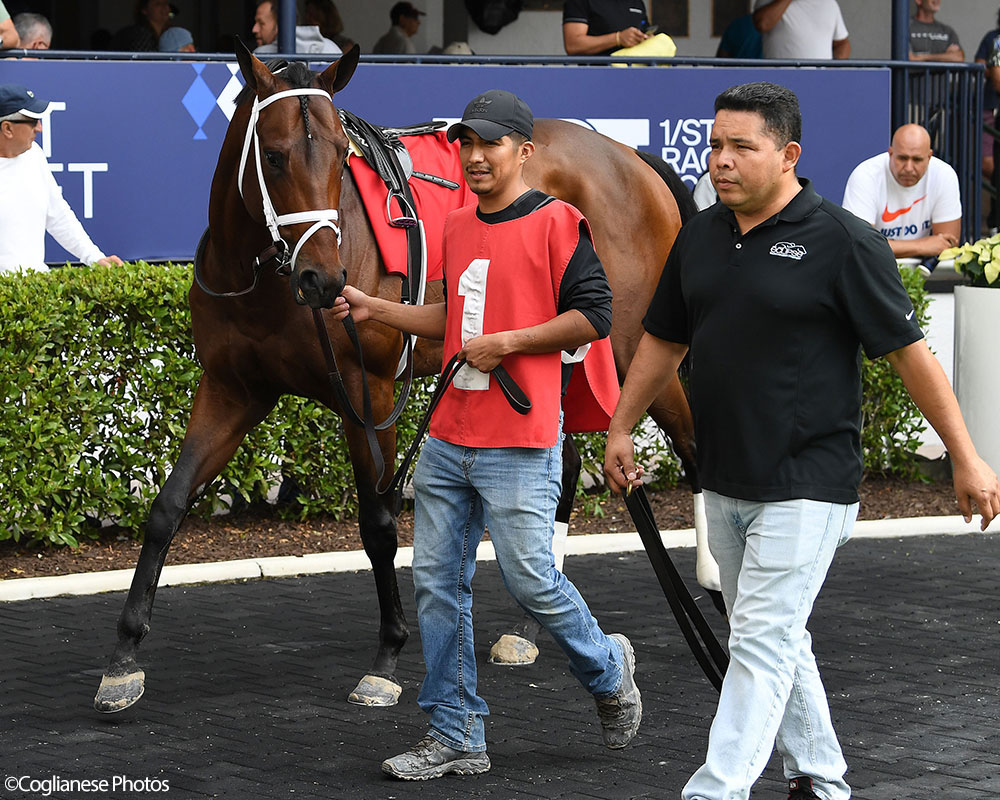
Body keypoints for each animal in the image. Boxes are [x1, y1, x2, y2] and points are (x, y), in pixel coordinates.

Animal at [94, 43, 704, 712]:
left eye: (341, 156)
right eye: (274, 156)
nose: (324, 280)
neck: (262, 281)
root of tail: (630, 157)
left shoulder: (370, 392)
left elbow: (379, 523)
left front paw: (387, 655)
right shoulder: (233, 389)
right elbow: (168, 505)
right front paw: (122, 658)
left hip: (631, 345)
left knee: (691, 444)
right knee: (561, 467)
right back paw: (528, 628)